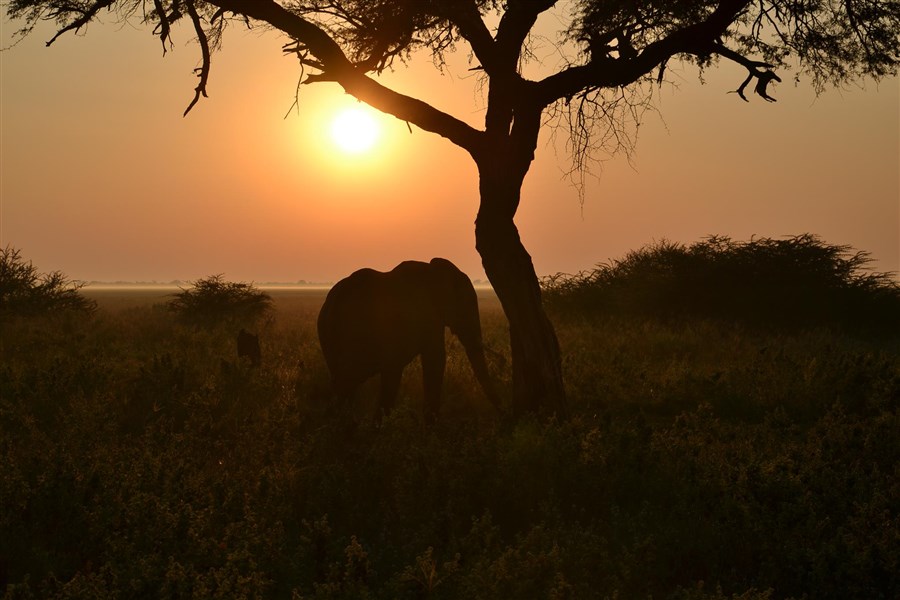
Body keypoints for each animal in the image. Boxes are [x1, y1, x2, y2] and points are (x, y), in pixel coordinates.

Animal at [316, 258, 500, 422]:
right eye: (466, 304)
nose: (500, 414)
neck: (434, 269)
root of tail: (332, 302)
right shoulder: (429, 315)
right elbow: (436, 358)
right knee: (351, 381)